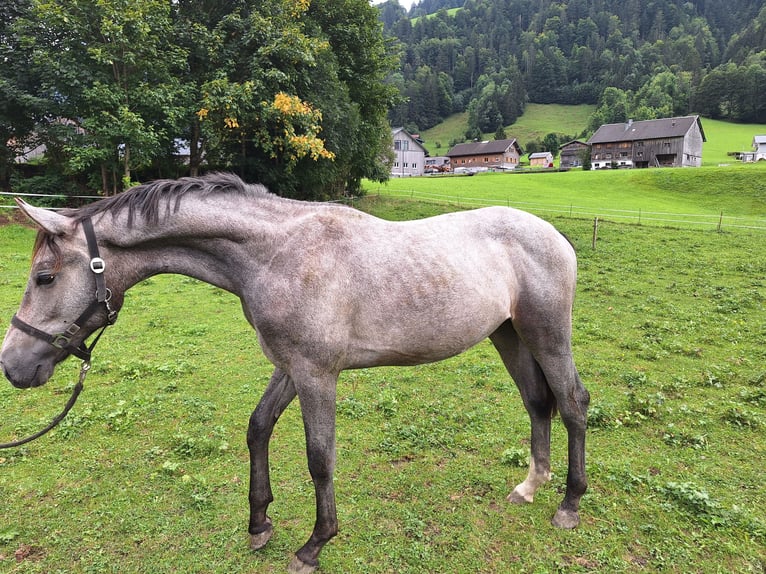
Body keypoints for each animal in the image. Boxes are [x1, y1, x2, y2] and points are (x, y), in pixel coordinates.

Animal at [0, 173, 592, 572]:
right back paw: (530, 486)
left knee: (572, 404)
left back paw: (568, 505)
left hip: (546, 335)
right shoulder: (288, 366)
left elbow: (319, 458)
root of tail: (554, 235)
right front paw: (259, 523)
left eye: (45, 276)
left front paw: (314, 544)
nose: (13, 365)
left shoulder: (315, 374)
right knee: (537, 402)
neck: (276, 255)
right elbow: (258, 427)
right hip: (508, 335)